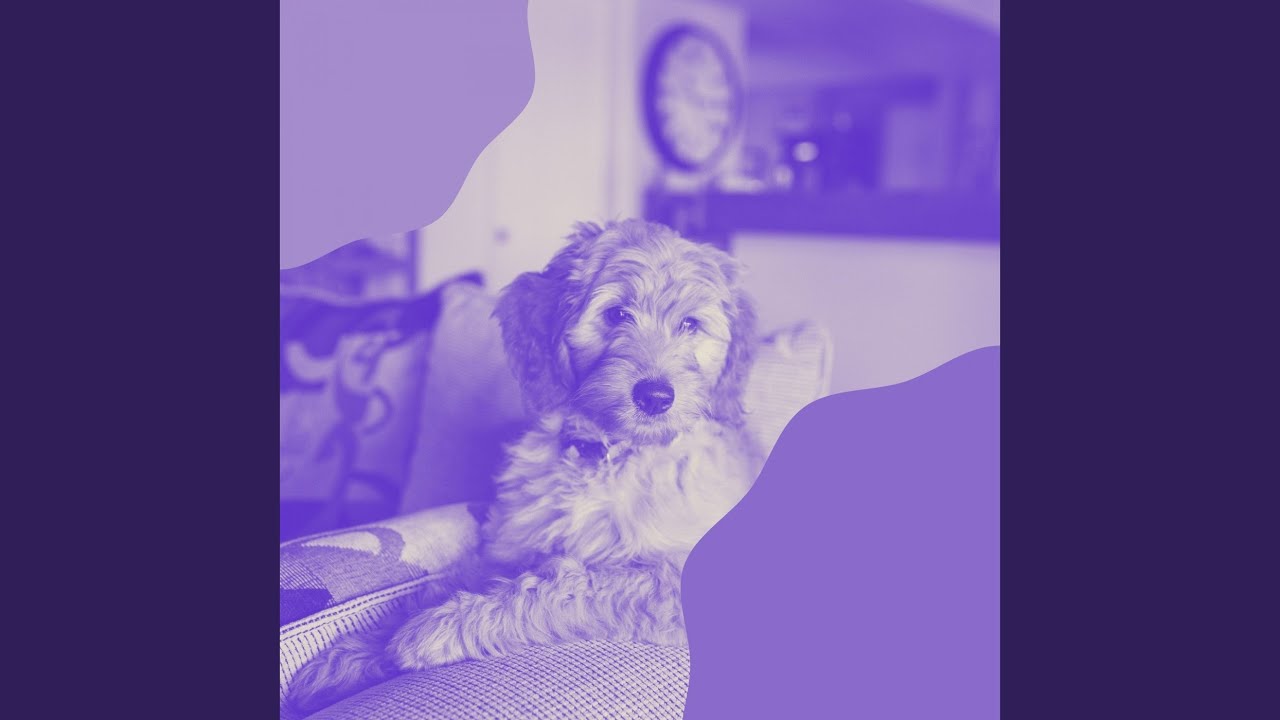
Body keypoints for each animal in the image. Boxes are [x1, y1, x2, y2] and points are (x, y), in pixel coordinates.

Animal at [287, 219, 762, 714]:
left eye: (690, 324)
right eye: (617, 315)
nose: (655, 396)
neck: (607, 455)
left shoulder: (670, 581)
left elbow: (569, 584)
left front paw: (438, 629)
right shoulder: (508, 545)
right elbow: (443, 584)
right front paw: (355, 653)